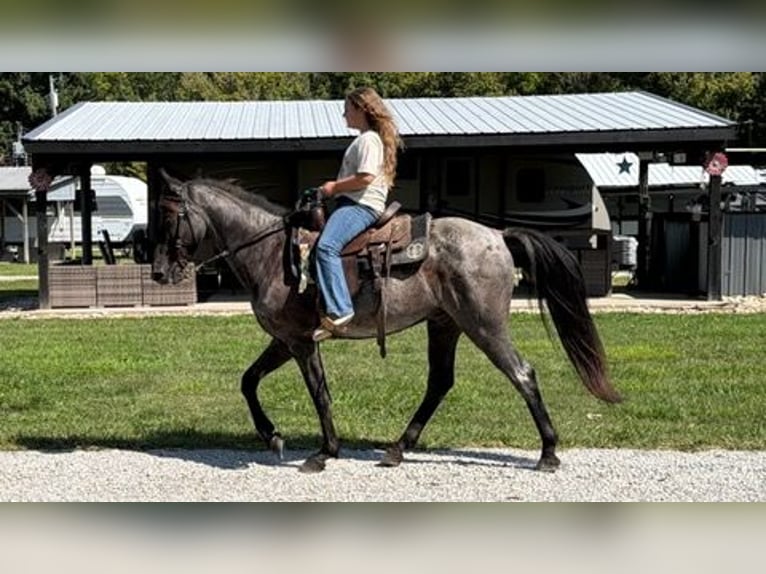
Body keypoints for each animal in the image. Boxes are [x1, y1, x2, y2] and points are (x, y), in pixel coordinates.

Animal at [151, 171, 621, 473]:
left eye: (170, 217)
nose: (158, 272)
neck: (270, 255)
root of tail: (496, 236)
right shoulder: (284, 340)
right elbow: (248, 381)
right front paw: (272, 436)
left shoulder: (302, 341)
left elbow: (319, 394)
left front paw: (325, 452)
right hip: (445, 324)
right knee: (440, 383)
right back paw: (397, 447)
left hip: (484, 325)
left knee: (522, 373)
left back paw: (548, 453)